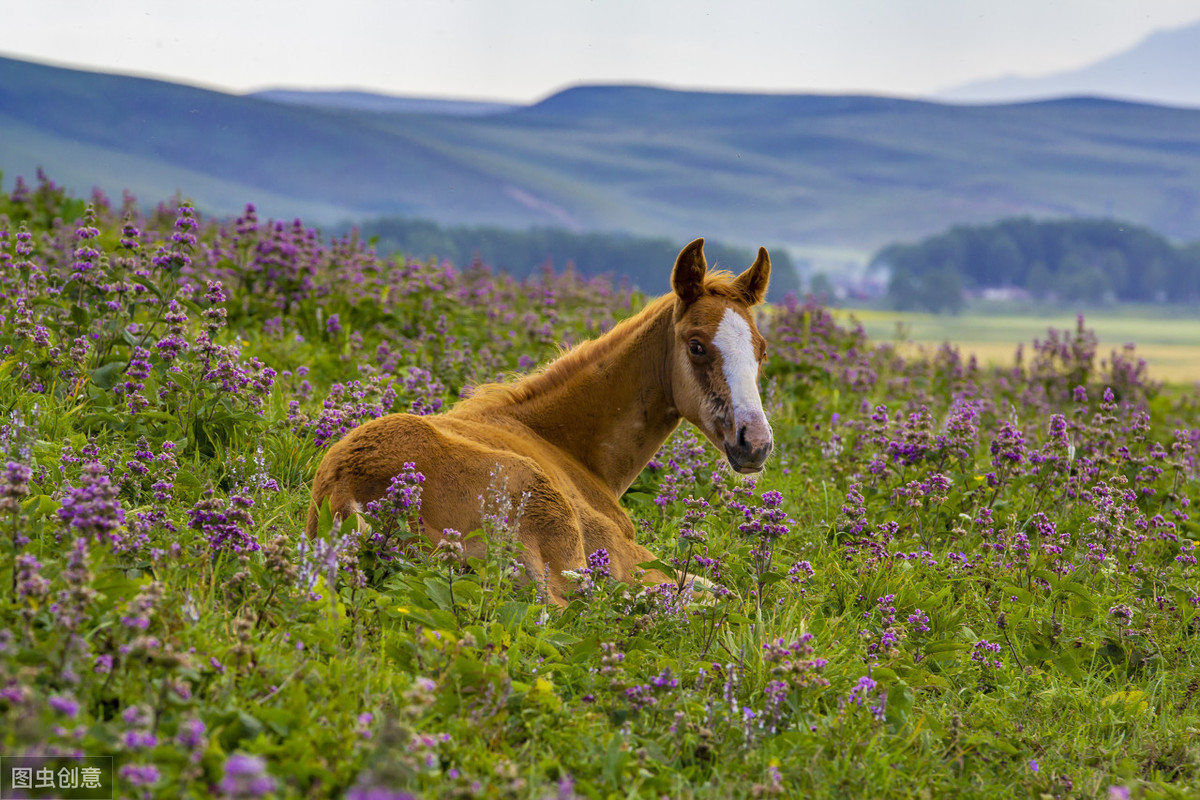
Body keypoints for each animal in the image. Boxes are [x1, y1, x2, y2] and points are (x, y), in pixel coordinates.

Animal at [309, 241, 772, 604]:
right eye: (696, 345)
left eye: (762, 351)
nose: (755, 443)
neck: (566, 446)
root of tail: (348, 489)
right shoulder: (627, 557)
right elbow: (716, 590)